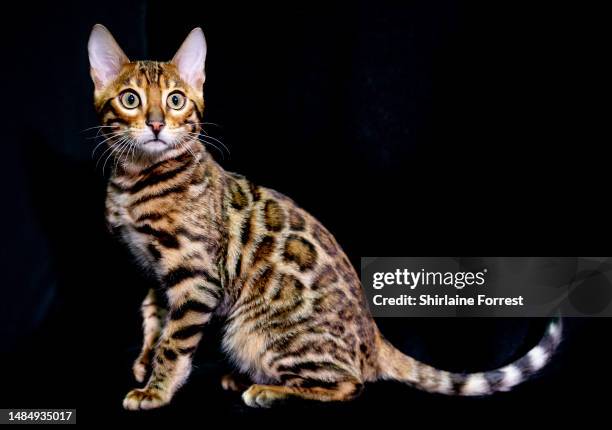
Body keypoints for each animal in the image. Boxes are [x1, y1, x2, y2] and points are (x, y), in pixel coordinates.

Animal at [87, 24, 564, 410]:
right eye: (130, 99)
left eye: (176, 100)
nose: (155, 124)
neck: (137, 180)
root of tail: (374, 338)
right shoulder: (154, 271)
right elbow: (153, 318)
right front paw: (144, 362)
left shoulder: (195, 275)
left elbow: (175, 342)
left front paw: (156, 389)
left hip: (255, 331)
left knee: (351, 385)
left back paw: (267, 390)